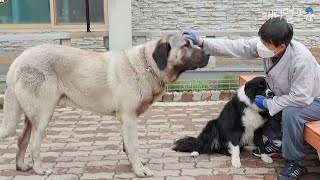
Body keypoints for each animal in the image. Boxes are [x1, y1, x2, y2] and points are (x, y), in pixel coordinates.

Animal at [0, 34, 209, 176]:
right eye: (186, 45)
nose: (207, 53)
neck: (148, 64)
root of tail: (18, 61)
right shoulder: (129, 119)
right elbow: (133, 146)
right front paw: (139, 170)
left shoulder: (125, 120)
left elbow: (127, 146)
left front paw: (134, 164)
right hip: (43, 114)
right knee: (34, 143)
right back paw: (39, 169)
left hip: (31, 115)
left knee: (21, 139)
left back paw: (21, 166)